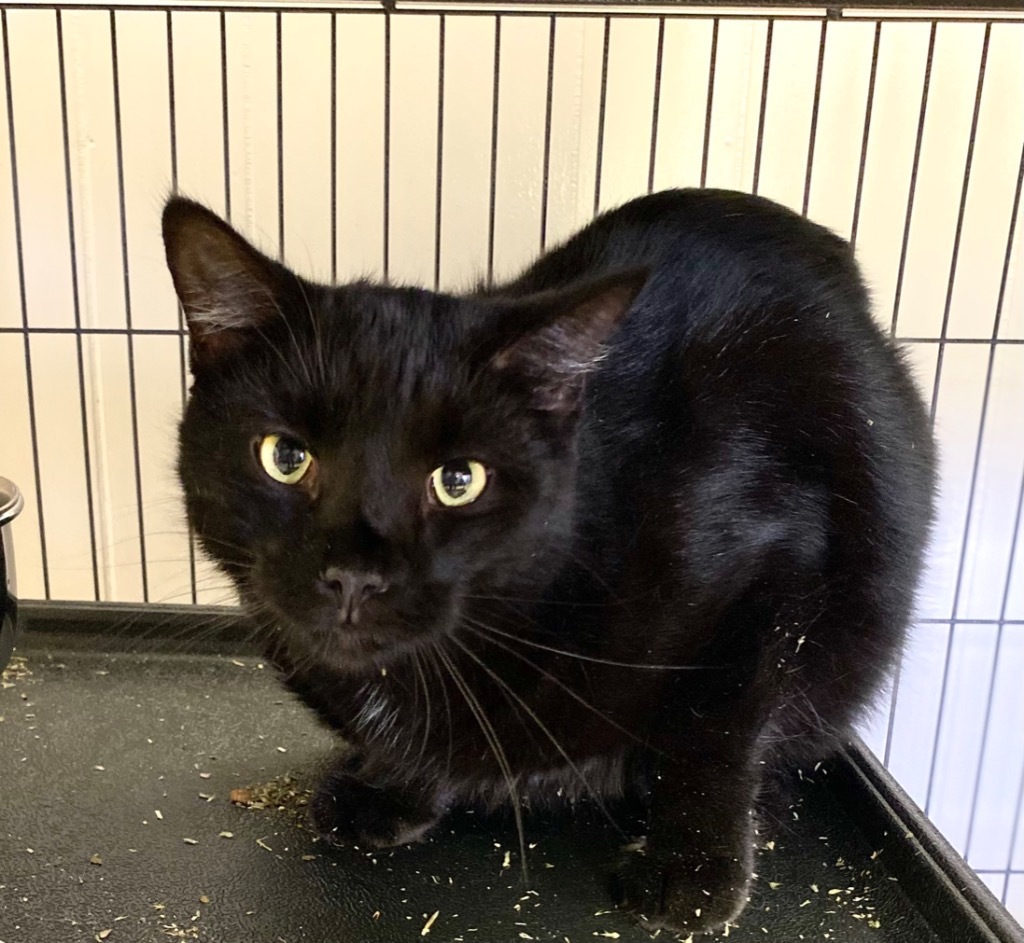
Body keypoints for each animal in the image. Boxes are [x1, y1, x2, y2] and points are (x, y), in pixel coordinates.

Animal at [161, 189, 937, 933]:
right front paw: (391, 786)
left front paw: (691, 868)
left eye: (460, 480)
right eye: (285, 457)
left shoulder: (770, 560)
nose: (354, 574)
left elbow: (717, 729)